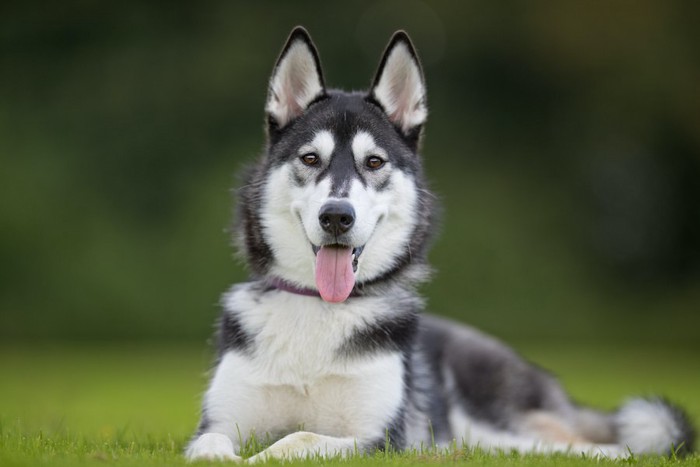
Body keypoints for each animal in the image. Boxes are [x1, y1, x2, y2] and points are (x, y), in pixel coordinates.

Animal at [186, 27, 696, 462]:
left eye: (374, 162)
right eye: (311, 158)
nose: (336, 216)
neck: (319, 311)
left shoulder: (379, 440)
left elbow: (298, 438)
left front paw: (262, 457)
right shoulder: (219, 422)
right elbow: (210, 446)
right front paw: (225, 458)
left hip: (506, 426)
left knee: (594, 447)